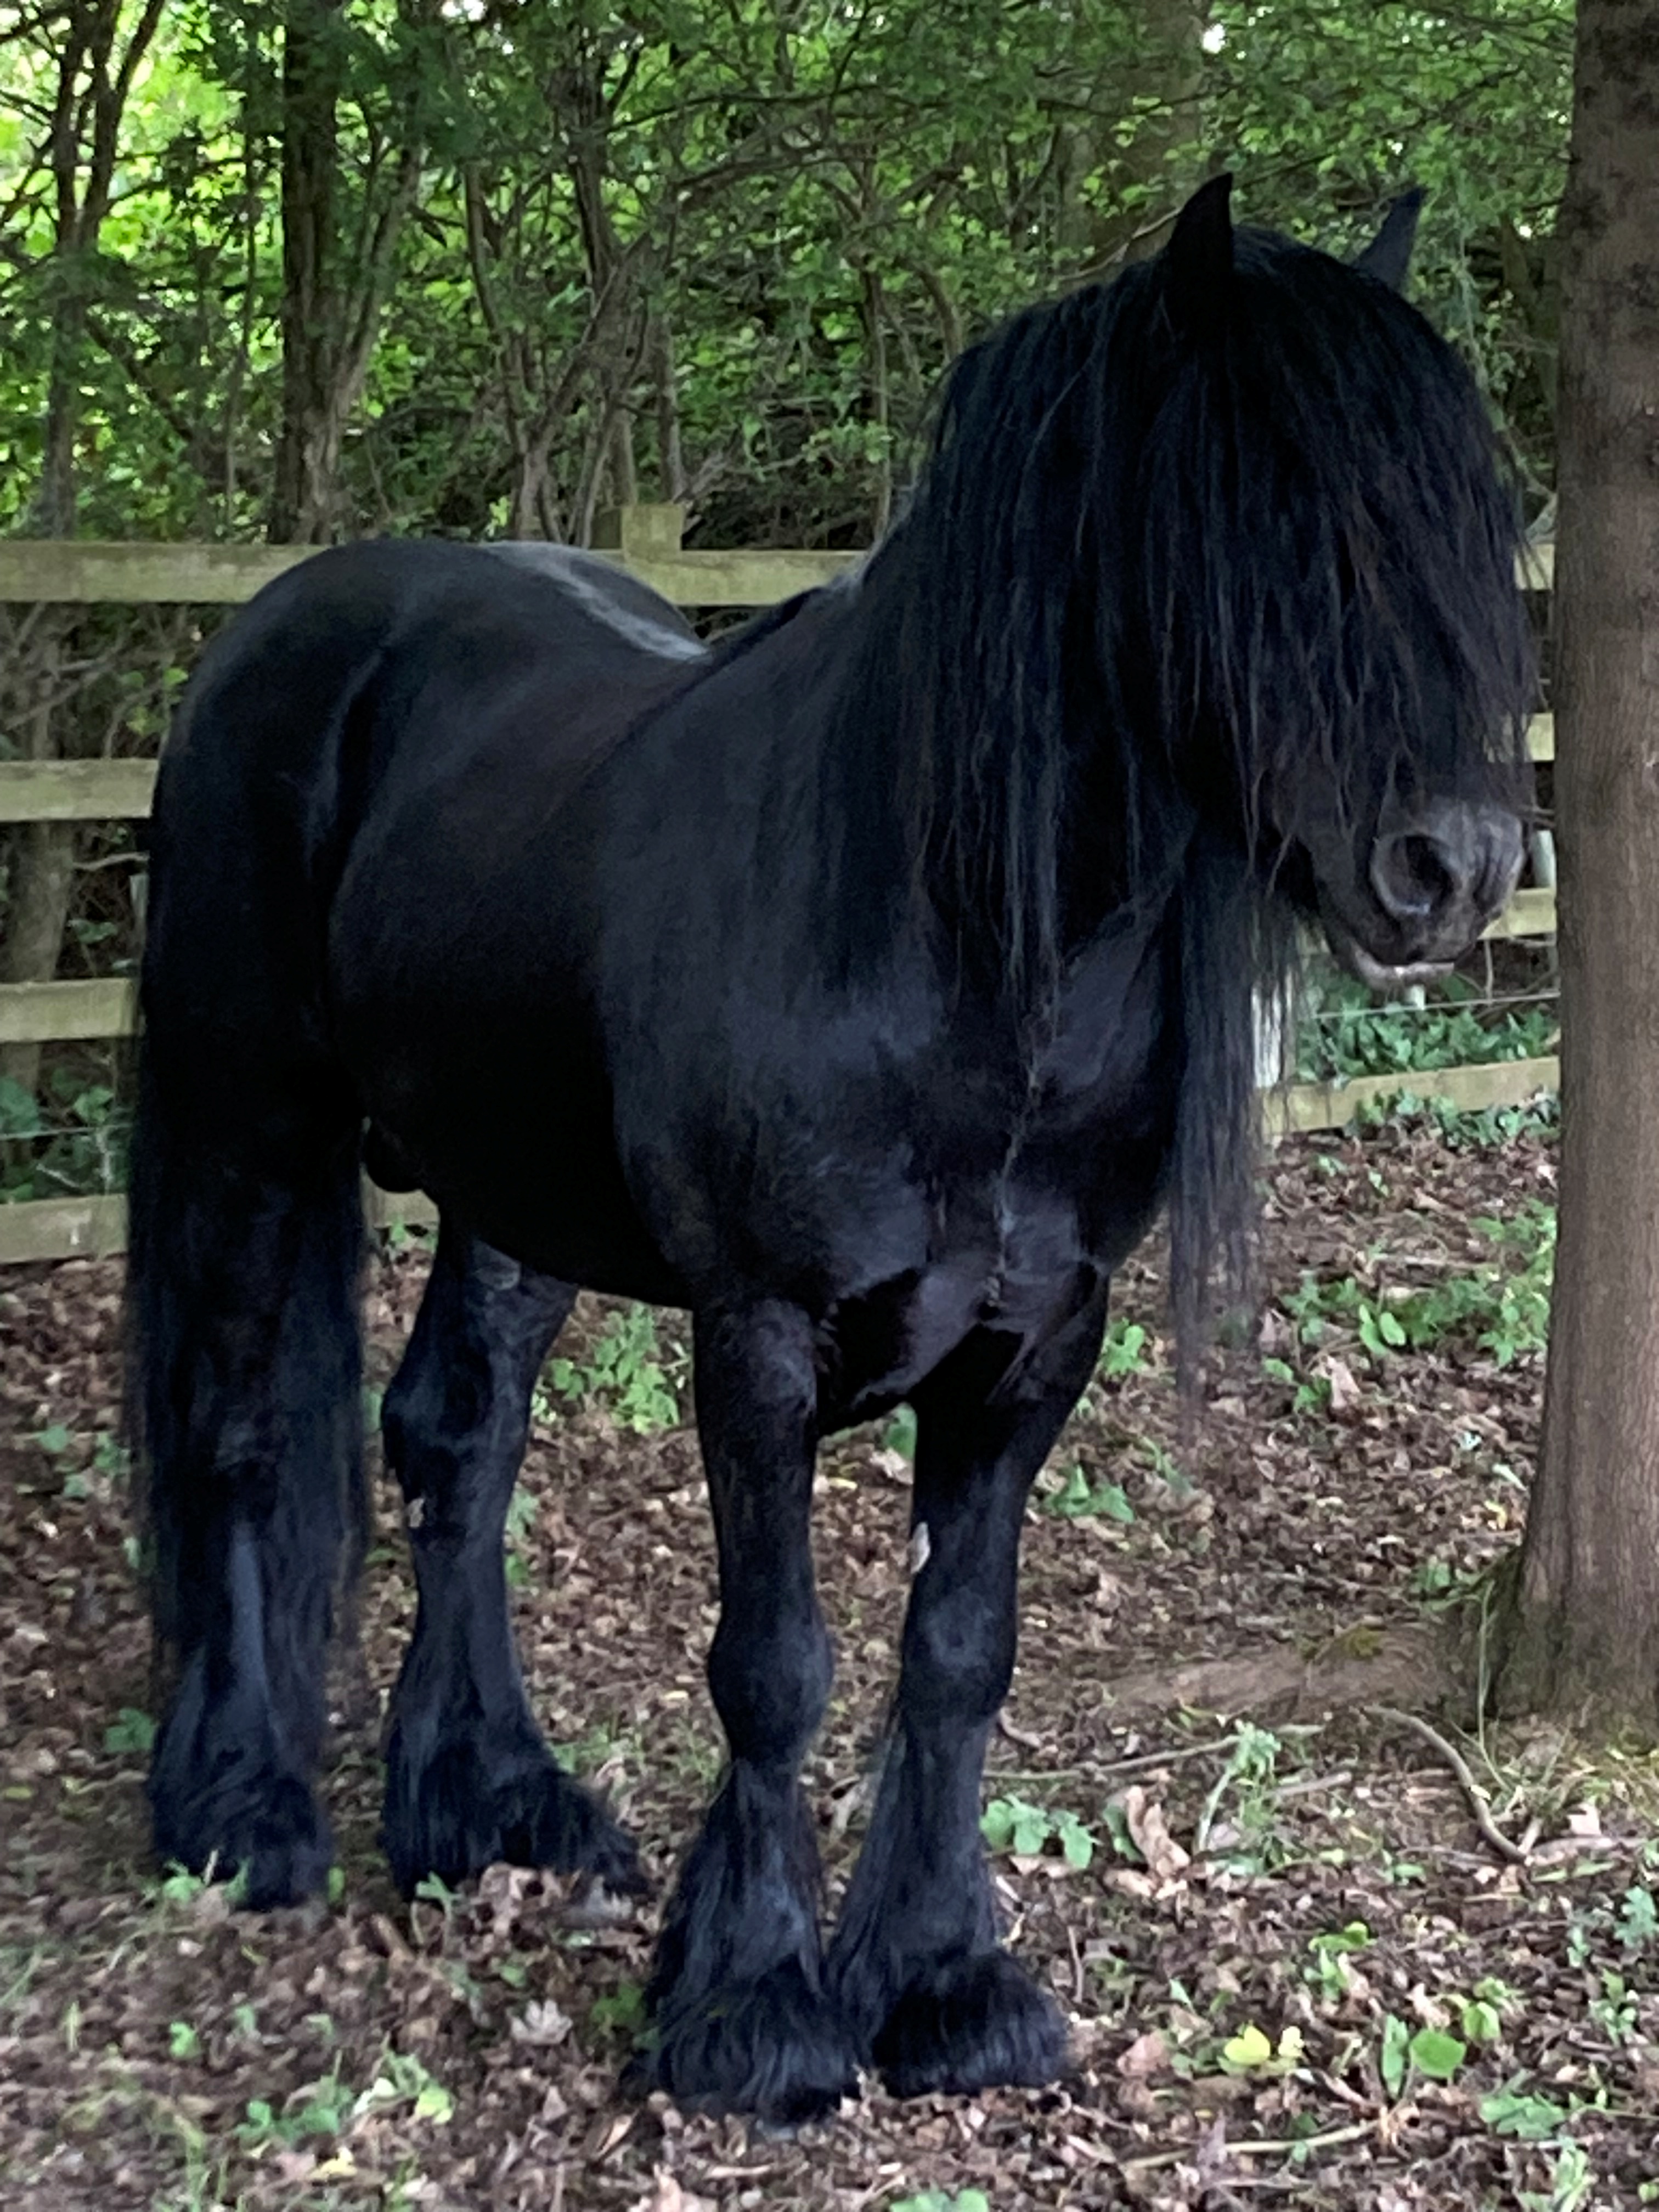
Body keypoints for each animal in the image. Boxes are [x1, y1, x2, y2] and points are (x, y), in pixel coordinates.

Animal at [126, 176, 1532, 2124]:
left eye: (1474, 516)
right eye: (1262, 517)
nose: (1456, 864)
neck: (956, 961)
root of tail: (278, 630)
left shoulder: (1038, 1344)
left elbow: (957, 1657)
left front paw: (942, 1982)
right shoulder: (762, 1340)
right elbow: (776, 1666)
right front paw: (757, 2004)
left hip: (507, 1188)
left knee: (456, 1442)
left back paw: (491, 1801)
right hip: (253, 1120)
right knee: (245, 1432)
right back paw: (243, 1806)